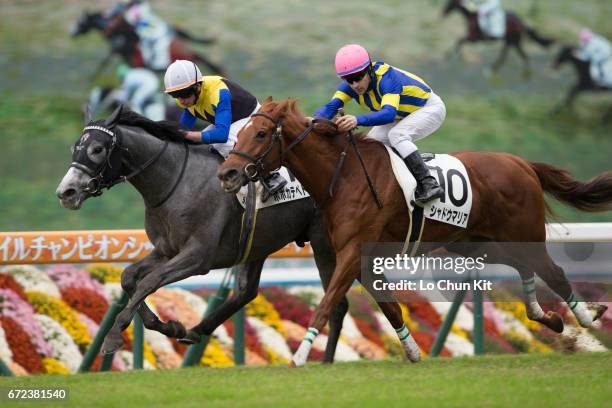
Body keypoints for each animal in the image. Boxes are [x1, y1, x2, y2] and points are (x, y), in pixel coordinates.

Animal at [55, 107, 346, 362]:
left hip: (324, 244)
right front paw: (170, 326)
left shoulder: (198, 256)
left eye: (97, 149)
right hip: (258, 244)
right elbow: (129, 278)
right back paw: (196, 330)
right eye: (74, 148)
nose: (66, 192)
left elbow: (149, 282)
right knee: (246, 292)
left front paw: (114, 336)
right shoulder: (167, 250)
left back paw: (326, 360)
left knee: (337, 304)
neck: (175, 182)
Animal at [220, 99, 612, 366]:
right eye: (239, 133)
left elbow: (328, 302)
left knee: (553, 271)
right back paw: (548, 317)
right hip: (472, 243)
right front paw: (412, 351)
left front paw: (300, 355)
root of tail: (522, 163)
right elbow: (390, 307)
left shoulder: (352, 252)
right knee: (524, 267)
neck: (344, 176)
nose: (228, 174)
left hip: (520, 234)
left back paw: (586, 316)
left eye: (259, 133)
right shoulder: (361, 258)